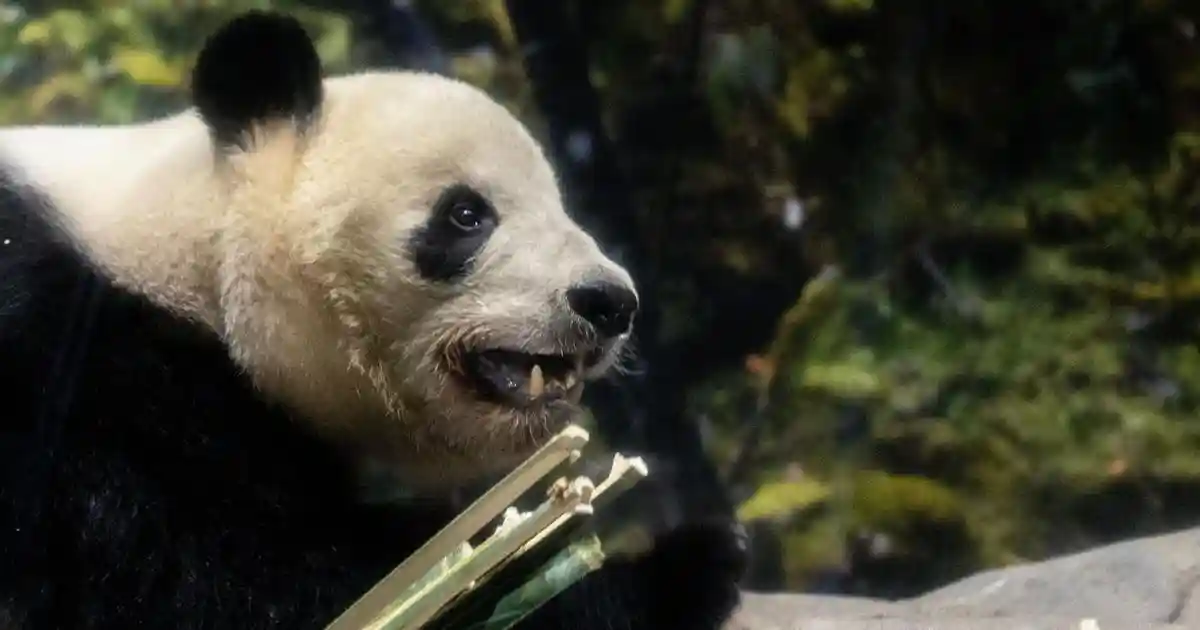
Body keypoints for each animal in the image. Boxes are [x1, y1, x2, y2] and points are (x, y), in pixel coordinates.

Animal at [0, 10, 746, 630]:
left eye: (560, 203)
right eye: (466, 214)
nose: (610, 301)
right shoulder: (73, 377)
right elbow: (229, 579)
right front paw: (669, 570)